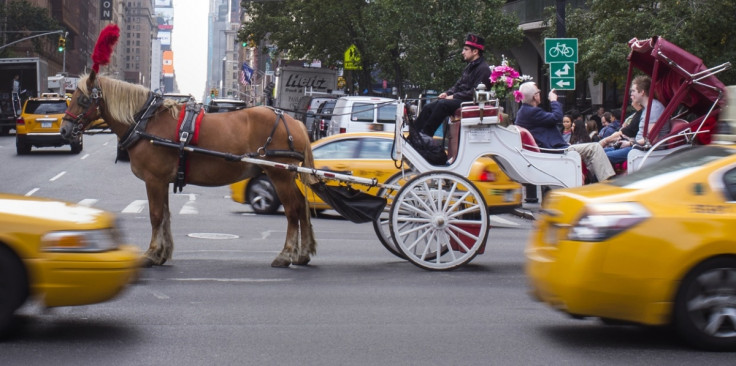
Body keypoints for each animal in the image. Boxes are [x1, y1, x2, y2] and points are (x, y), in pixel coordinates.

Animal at [60, 70, 320, 268]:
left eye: (83, 100)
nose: (64, 130)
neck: (146, 122)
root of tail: (294, 121)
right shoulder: (162, 180)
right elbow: (165, 215)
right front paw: (162, 253)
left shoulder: (154, 179)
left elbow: (155, 215)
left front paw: (151, 253)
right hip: (285, 175)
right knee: (302, 207)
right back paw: (303, 254)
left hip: (279, 174)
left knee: (293, 210)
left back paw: (286, 255)